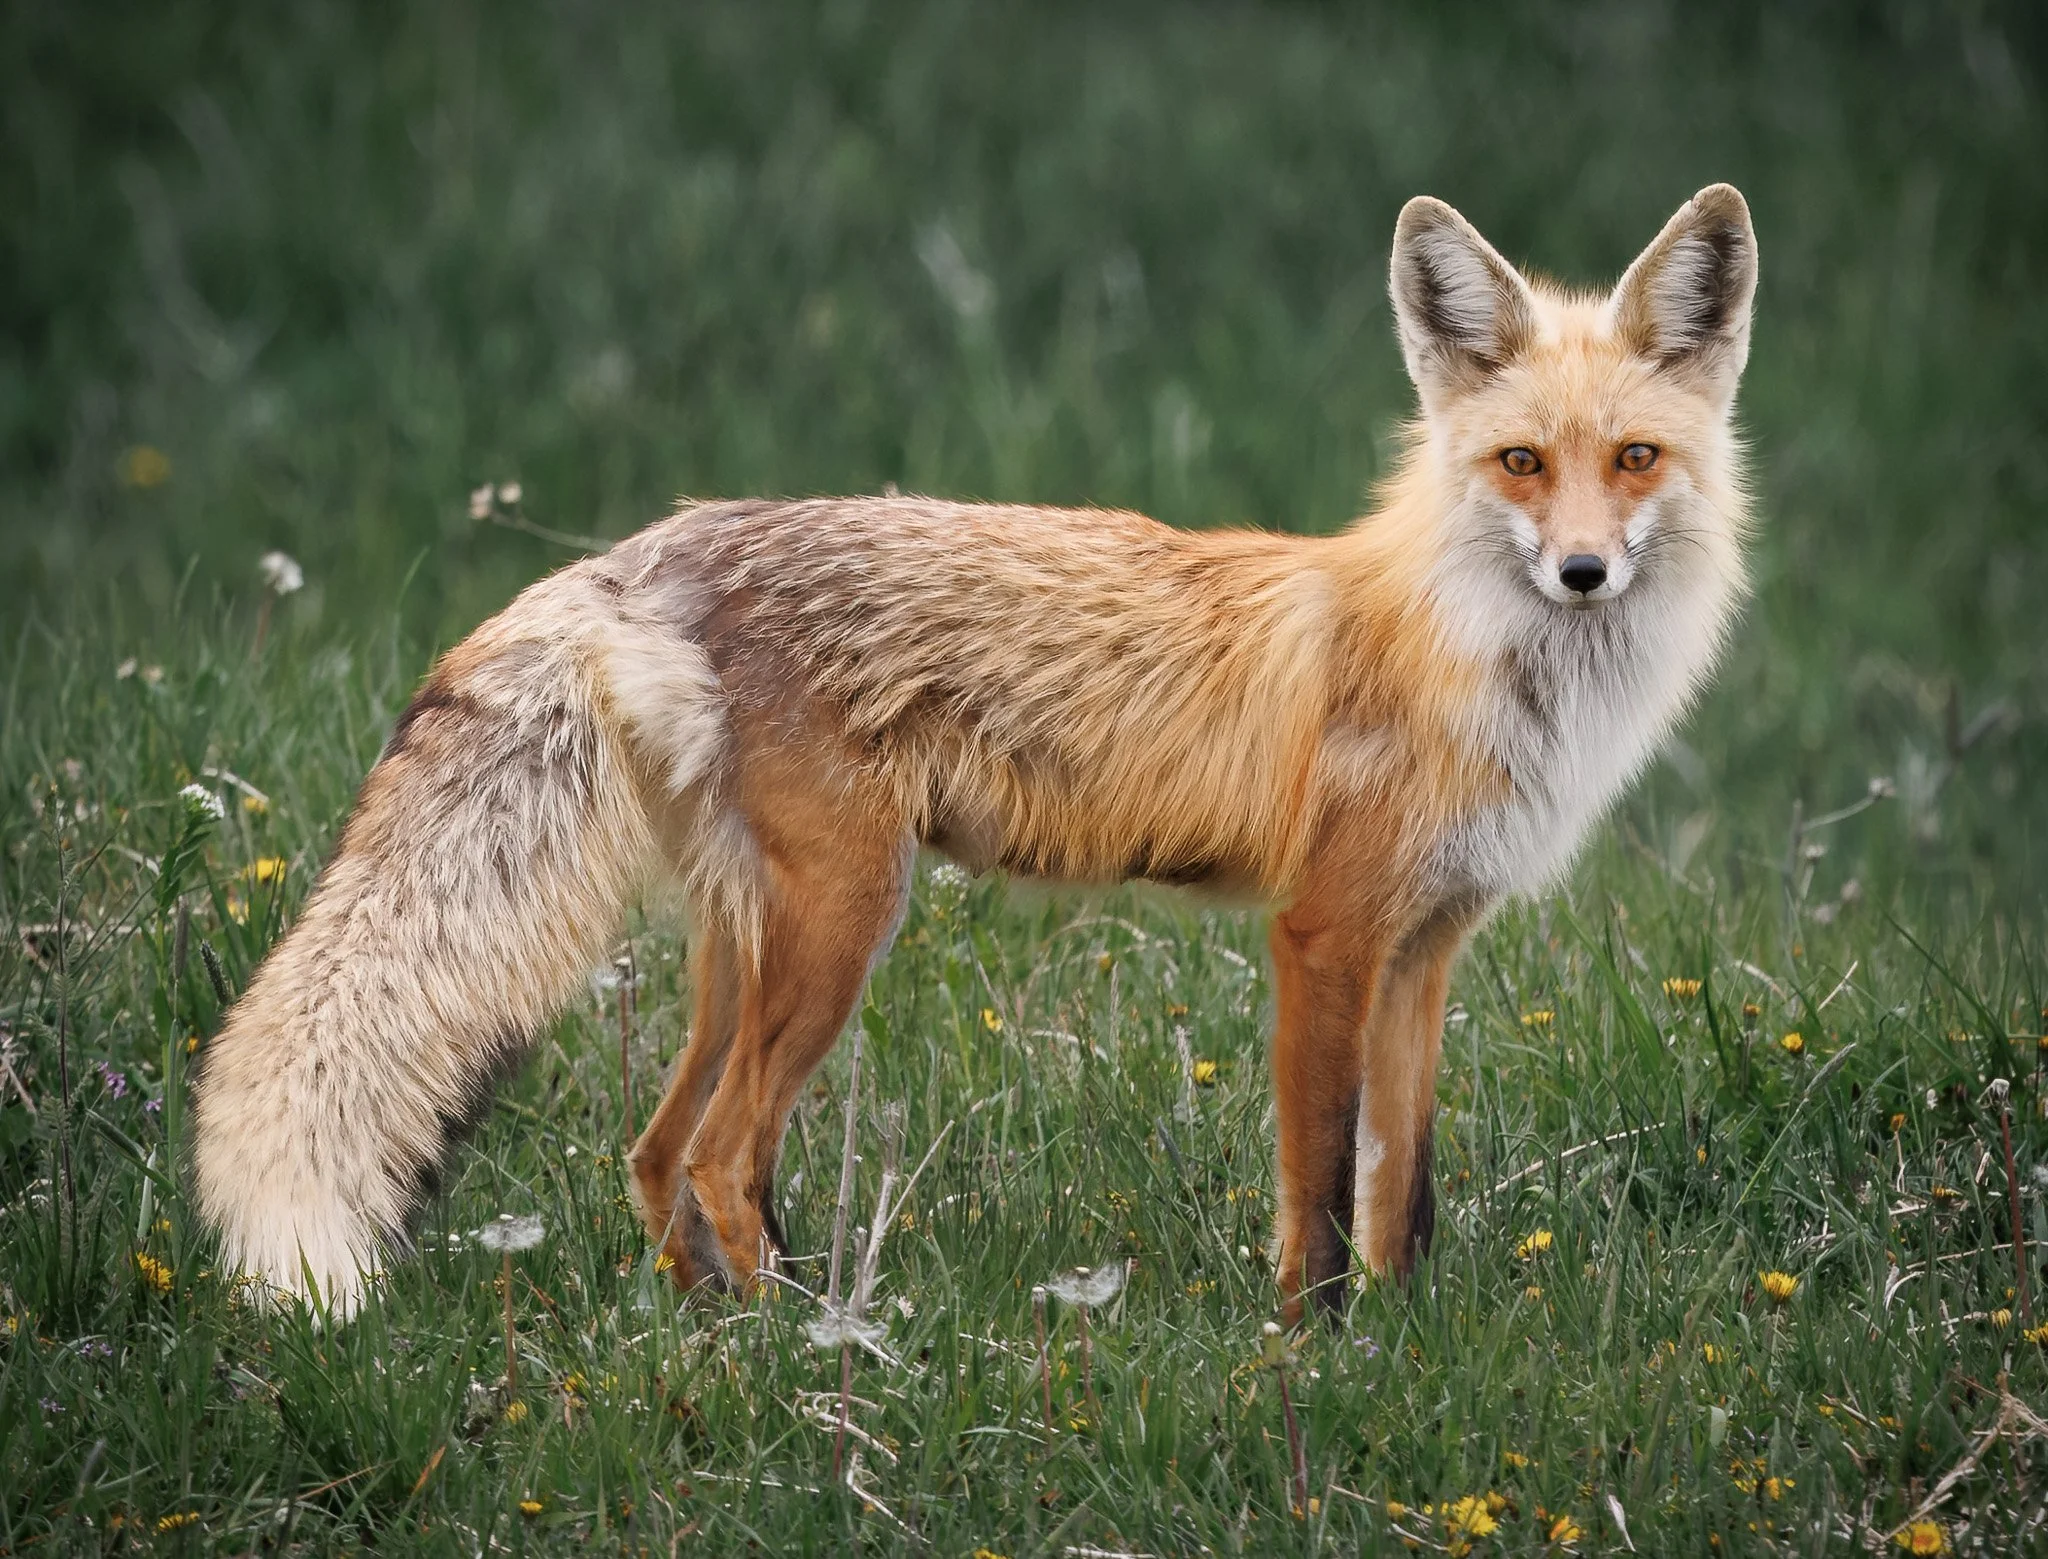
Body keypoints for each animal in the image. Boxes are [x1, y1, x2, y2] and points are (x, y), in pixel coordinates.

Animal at [194, 186, 1757, 1325]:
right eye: (1517, 464)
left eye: (1631, 459)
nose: (1581, 573)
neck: (1486, 670)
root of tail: (656, 545)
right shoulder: (1323, 933)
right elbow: (1317, 1178)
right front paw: (1312, 1349)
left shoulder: (1427, 944)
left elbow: (1404, 1186)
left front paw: (1404, 1336)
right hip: (841, 923)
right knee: (718, 1149)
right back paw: (802, 1344)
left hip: (744, 941)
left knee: (655, 1149)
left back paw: (707, 1330)